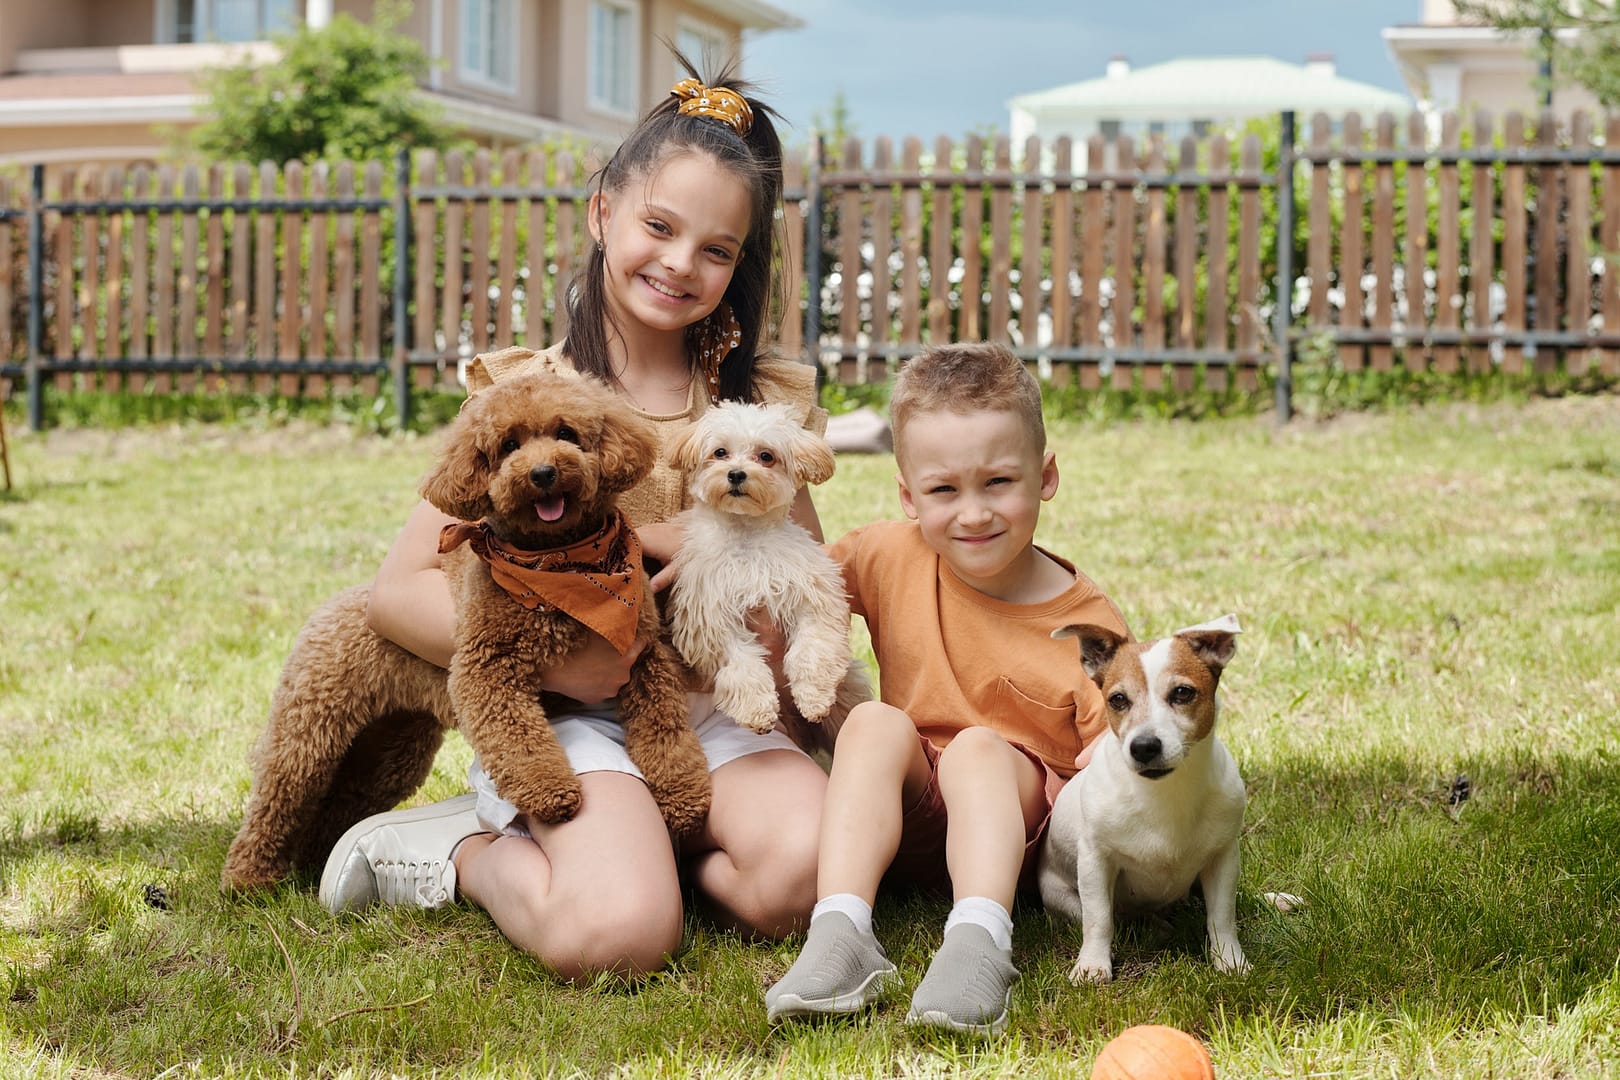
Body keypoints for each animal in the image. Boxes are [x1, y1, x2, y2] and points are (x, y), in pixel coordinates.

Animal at [660, 401, 855, 738]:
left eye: (766, 456)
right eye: (720, 452)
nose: (736, 474)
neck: (746, 536)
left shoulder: (812, 595)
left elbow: (811, 649)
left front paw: (814, 697)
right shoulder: (712, 614)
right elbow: (742, 664)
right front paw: (756, 710)